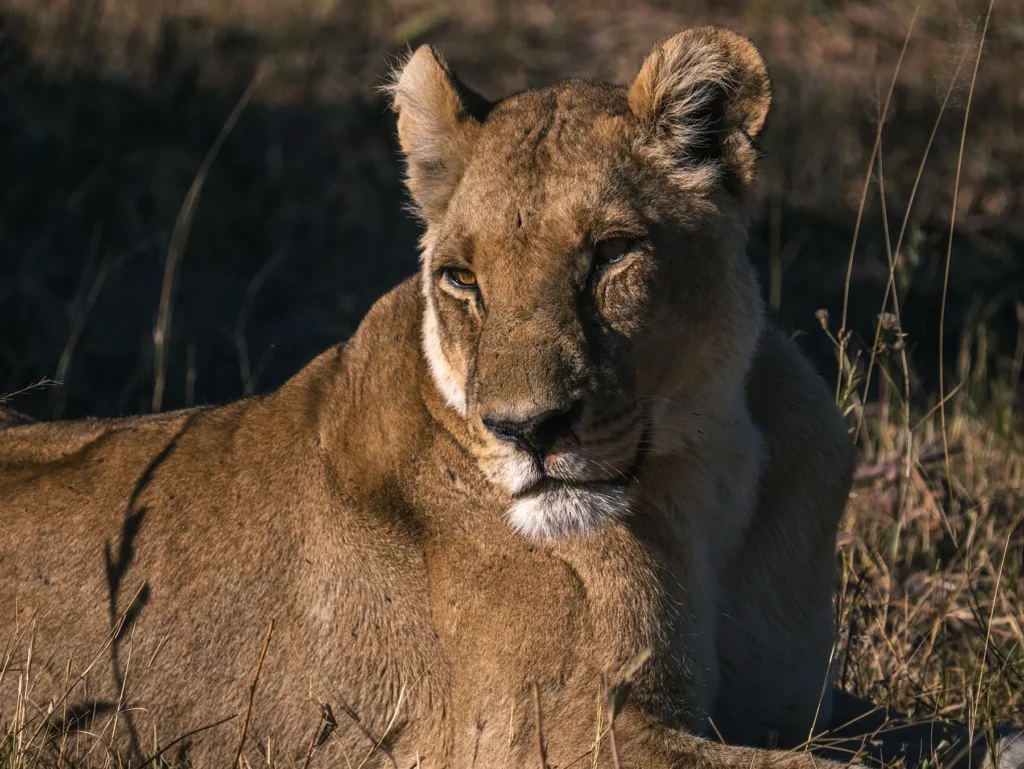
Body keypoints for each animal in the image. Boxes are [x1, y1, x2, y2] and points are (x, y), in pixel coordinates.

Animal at [2, 26, 1016, 769]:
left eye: (612, 253)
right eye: (461, 278)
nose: (528, 430)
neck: (707, 475)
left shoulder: (804, 699)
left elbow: (942, 735)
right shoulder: (558, 736)